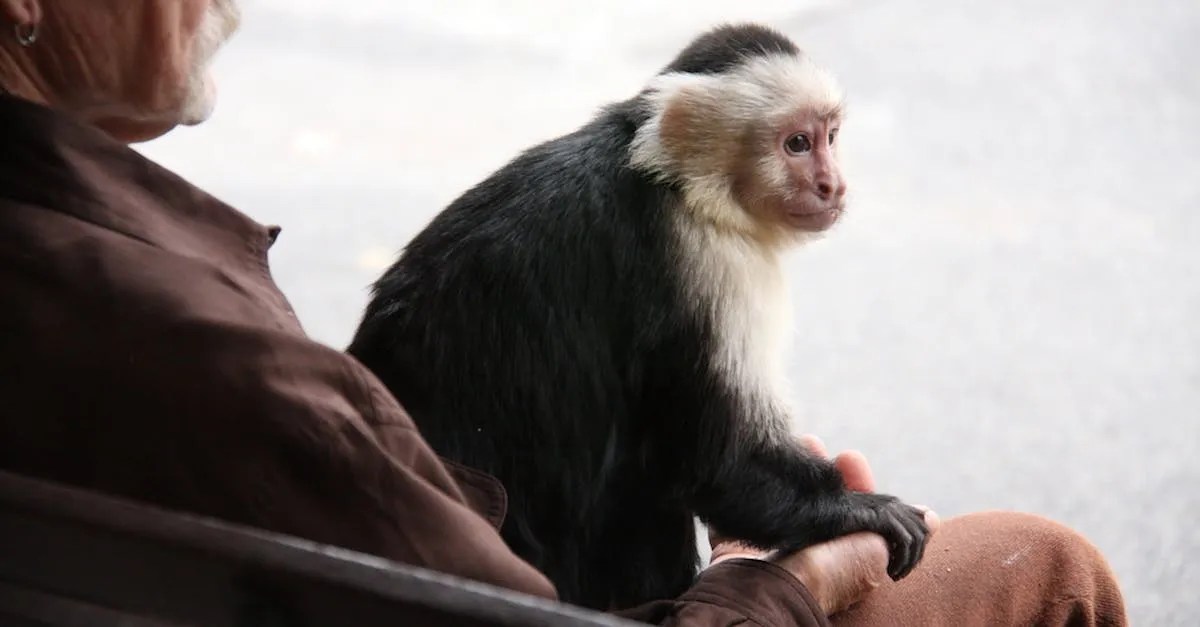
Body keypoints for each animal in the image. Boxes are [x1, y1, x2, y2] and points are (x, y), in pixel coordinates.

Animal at [347, 23, 929, 611]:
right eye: (796, 144)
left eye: (831, 136)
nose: (834, 185)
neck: (673, 180)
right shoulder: (708, 257)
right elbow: (716, 462)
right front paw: (854, 511)